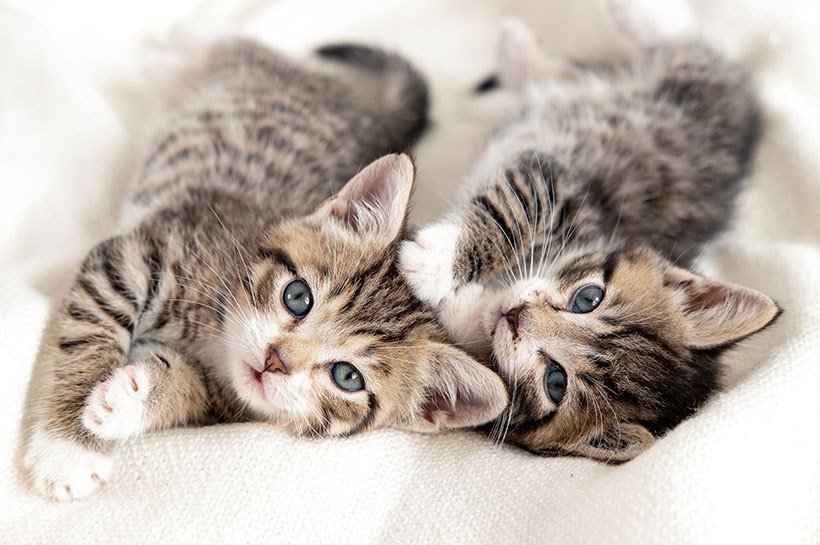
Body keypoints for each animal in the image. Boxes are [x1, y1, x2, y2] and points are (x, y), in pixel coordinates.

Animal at [22, 39, 506, 502]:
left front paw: (131, 400)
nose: (276, 361)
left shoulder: (215, 395)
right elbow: (90, 337)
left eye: (347, 377)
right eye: (297, 297)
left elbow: (187, 388)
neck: (215, 337)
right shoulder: (131, 258)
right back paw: (169, 54)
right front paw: (68, 447)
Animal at [400, 10, 780, 462]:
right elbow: (510, 213)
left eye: (556, 382)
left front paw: (454, 297)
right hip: (691, 91)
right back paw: (634, 18)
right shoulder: (553, 181)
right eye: (589, 298)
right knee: (689, 49)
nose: (516, 316)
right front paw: (440, 262)